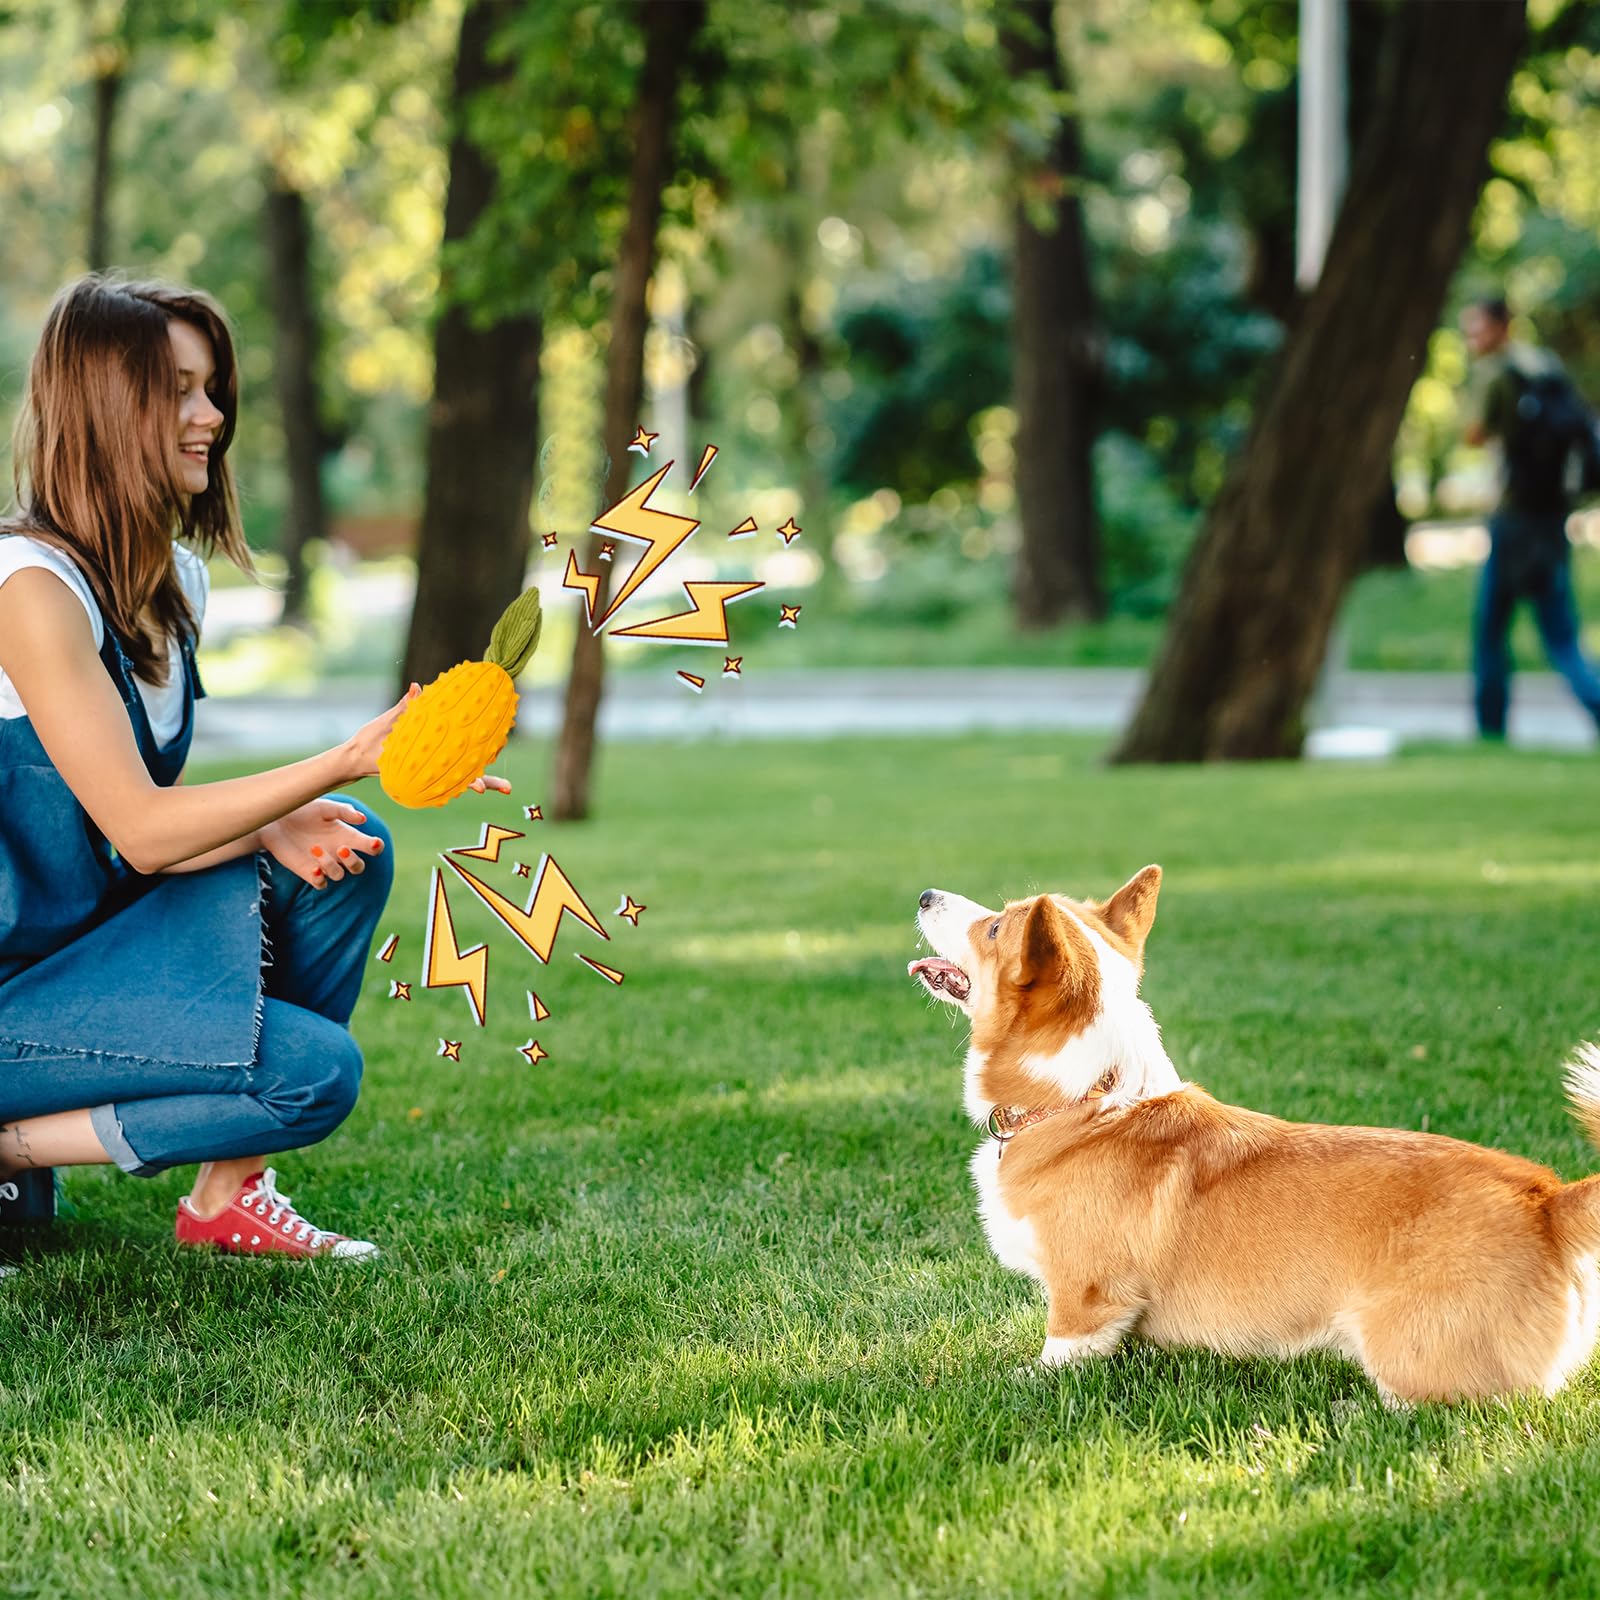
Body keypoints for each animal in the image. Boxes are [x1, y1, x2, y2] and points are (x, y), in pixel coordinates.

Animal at [908, 870, 1600, 1408]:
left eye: (996, 928)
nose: (923, 893)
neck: (1085, 1101)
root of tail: (1549, 1201)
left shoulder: (1086, 1299)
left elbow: (1054, 1359)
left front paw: (1013, 1380)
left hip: (1406, 1344)